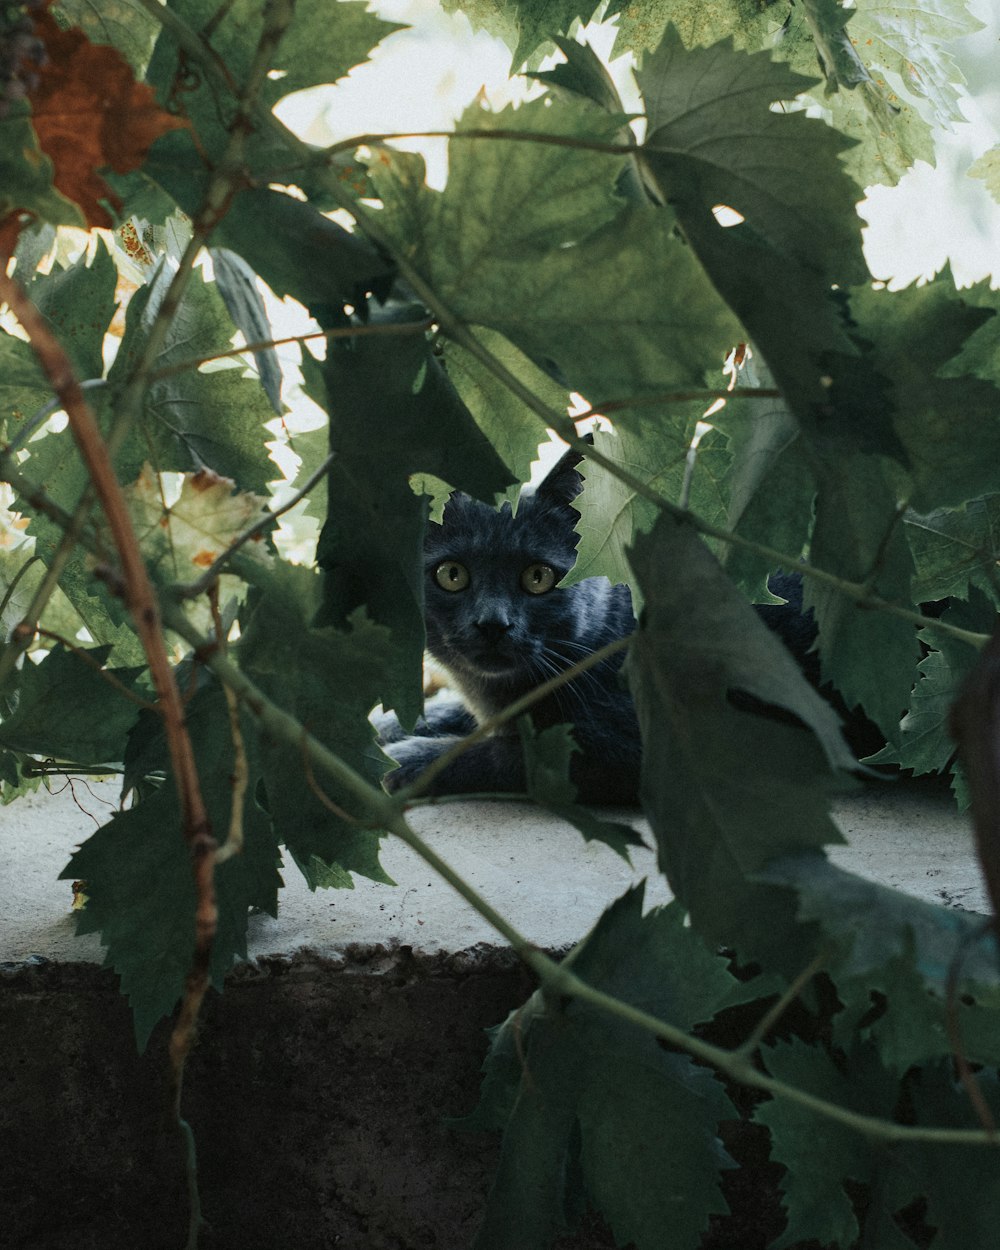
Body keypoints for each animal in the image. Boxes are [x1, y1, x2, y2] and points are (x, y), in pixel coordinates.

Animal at [375, 445, 640, 805]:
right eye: (451, 574)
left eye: (538, 577)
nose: (493, 623)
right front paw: (390, 726)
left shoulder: (623, 744)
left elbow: (511, 754)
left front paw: (409, 759)